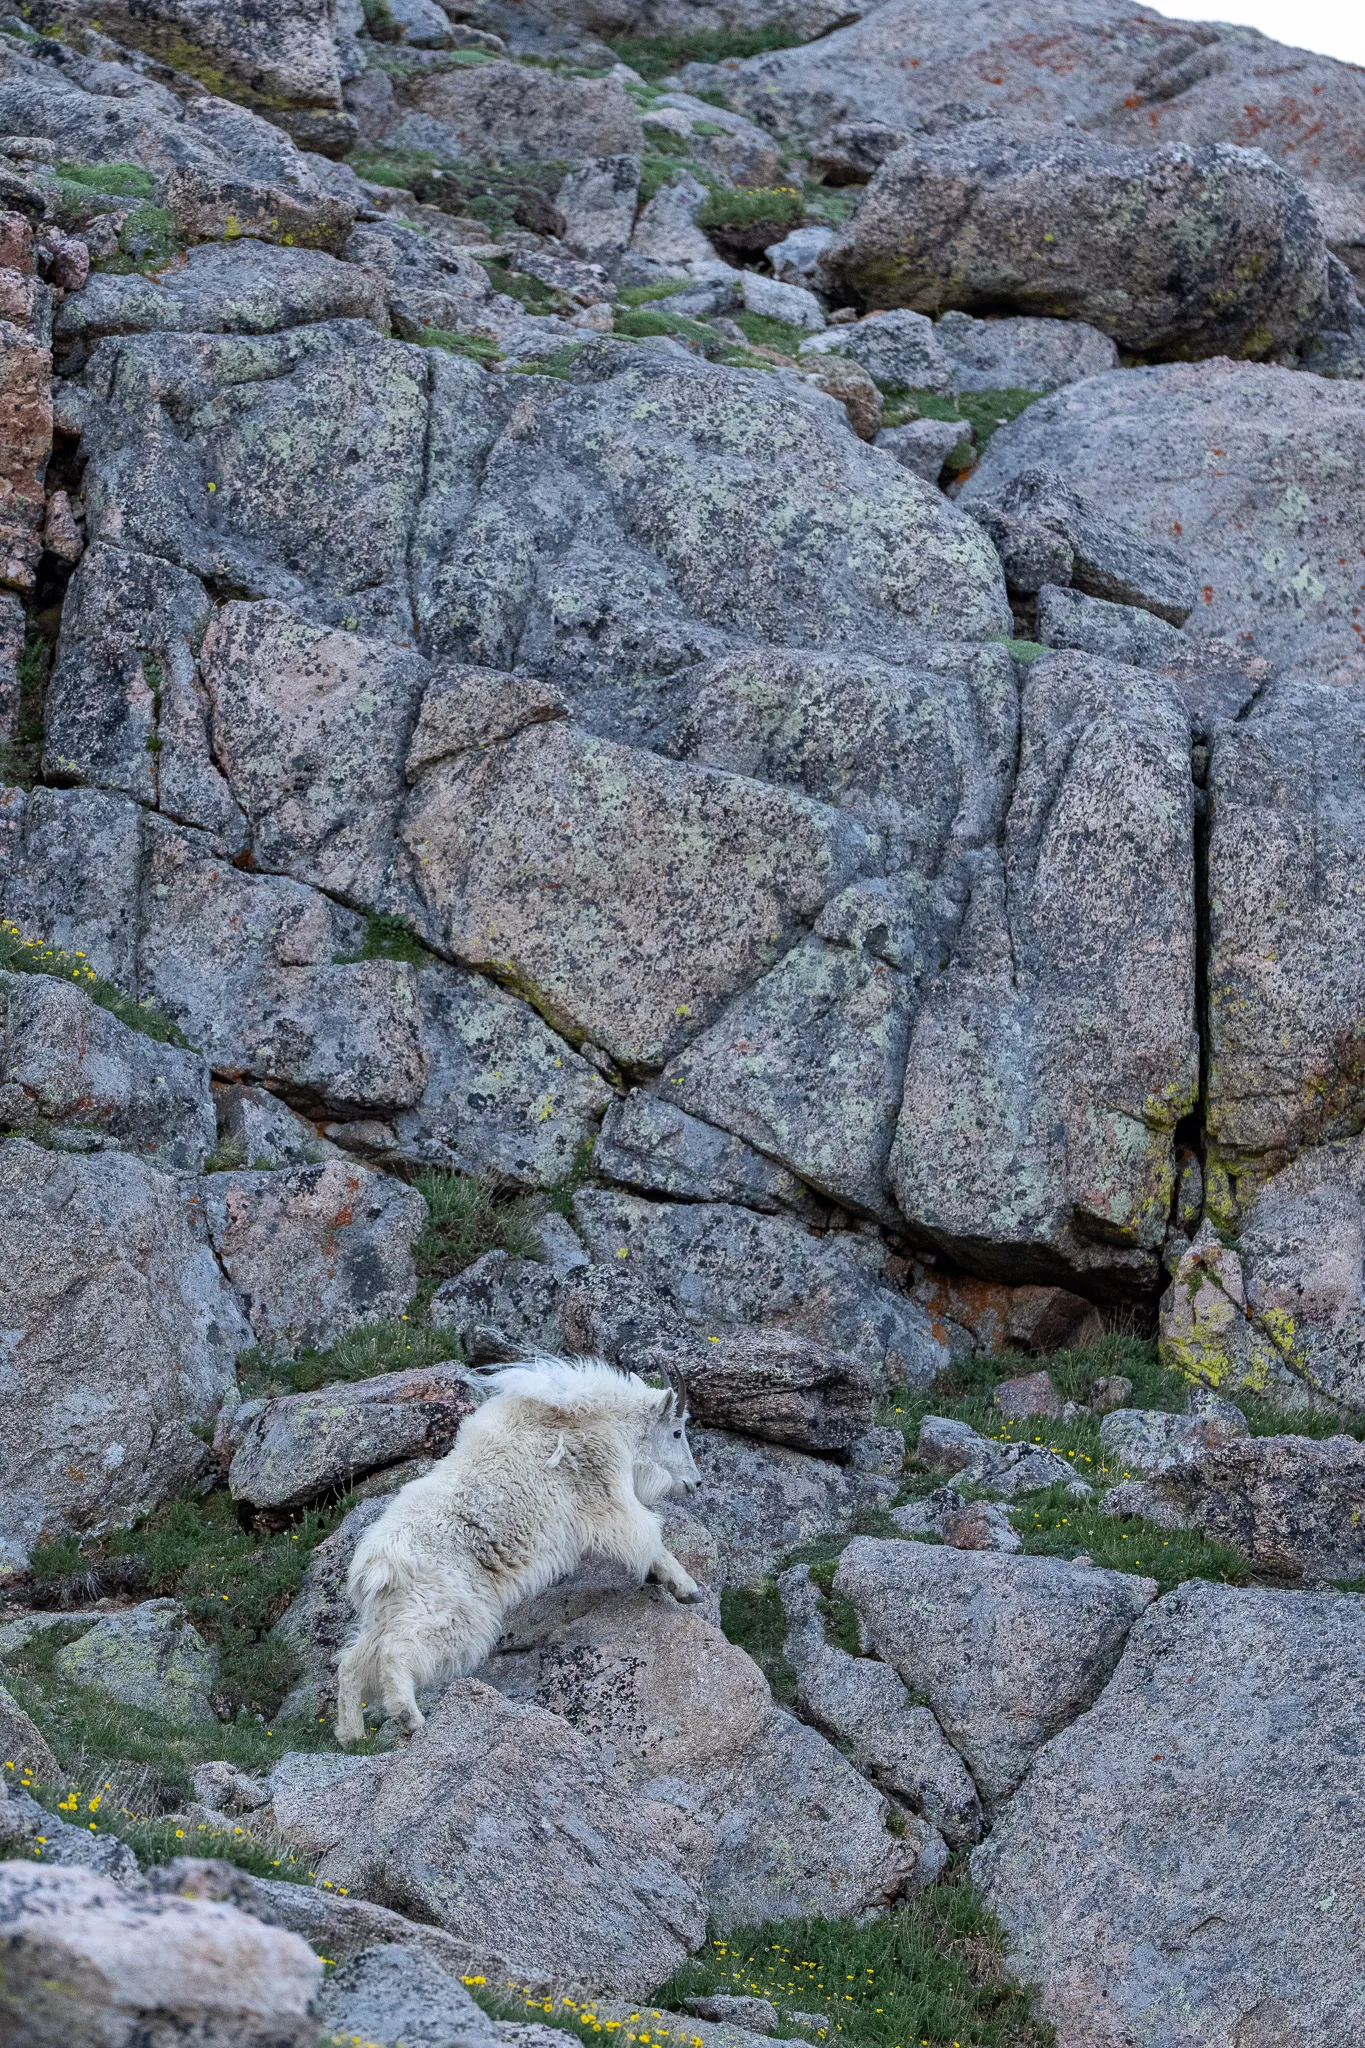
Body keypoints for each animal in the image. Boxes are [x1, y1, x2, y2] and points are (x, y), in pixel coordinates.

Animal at [334, 1355, 702, 1743]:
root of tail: (378, 1565)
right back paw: (409, 1717)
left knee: (354, 1660)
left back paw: (351, 1735)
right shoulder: (604, 1494)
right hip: (451, 1607)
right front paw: (687, 1588)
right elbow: (645, 1536)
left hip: (391, 1609)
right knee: (397, 1648)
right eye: (677, 1432)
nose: (695, 1483)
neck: (605, 1420)